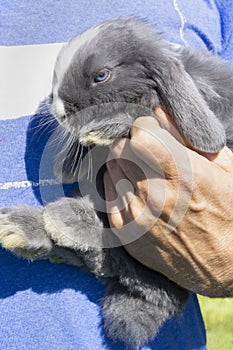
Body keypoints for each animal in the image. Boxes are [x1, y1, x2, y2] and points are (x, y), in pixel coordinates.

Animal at [0, 17, 233, 350]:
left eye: (101, 75)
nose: (58, 111)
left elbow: (139, 111)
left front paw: (103, 127)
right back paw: (24, 226)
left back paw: (62, 220)